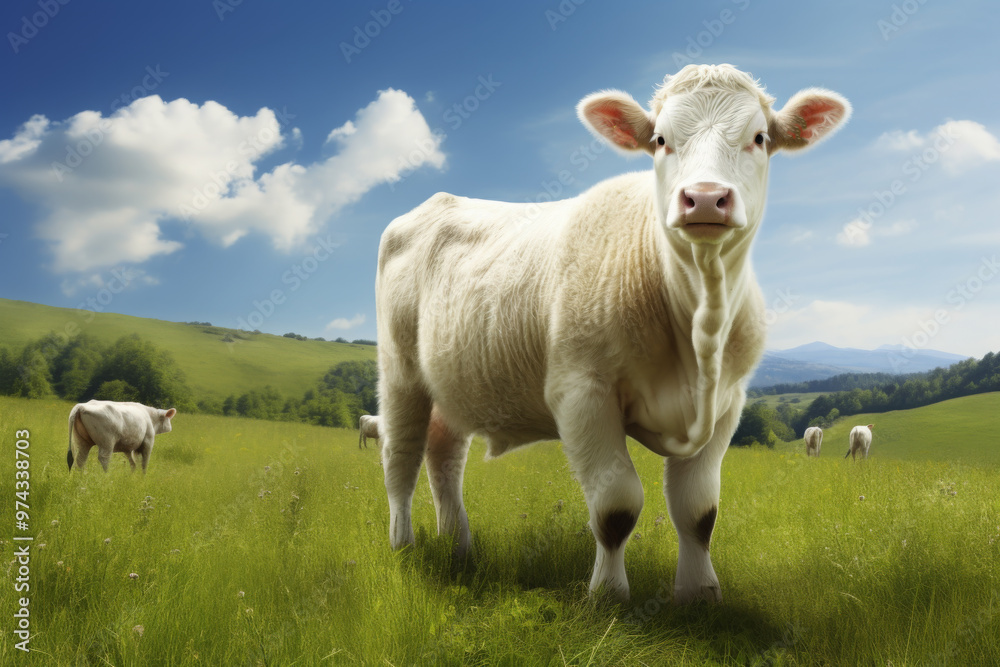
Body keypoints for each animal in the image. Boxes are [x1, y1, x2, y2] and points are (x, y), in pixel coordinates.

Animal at [375, 63, 850, 603]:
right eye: (661, 139)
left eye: (760, 137)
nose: (706, 198)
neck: (698, 323)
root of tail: (439, 200)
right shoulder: (583, 392)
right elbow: (616, 506)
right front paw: (606, 595)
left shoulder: (729, 402)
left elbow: (699, 510)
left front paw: (699, 593)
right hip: (400, 371)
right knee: (400, 457)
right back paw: (404, 546)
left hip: (452, 381)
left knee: (444, 455)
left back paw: (458, 547)